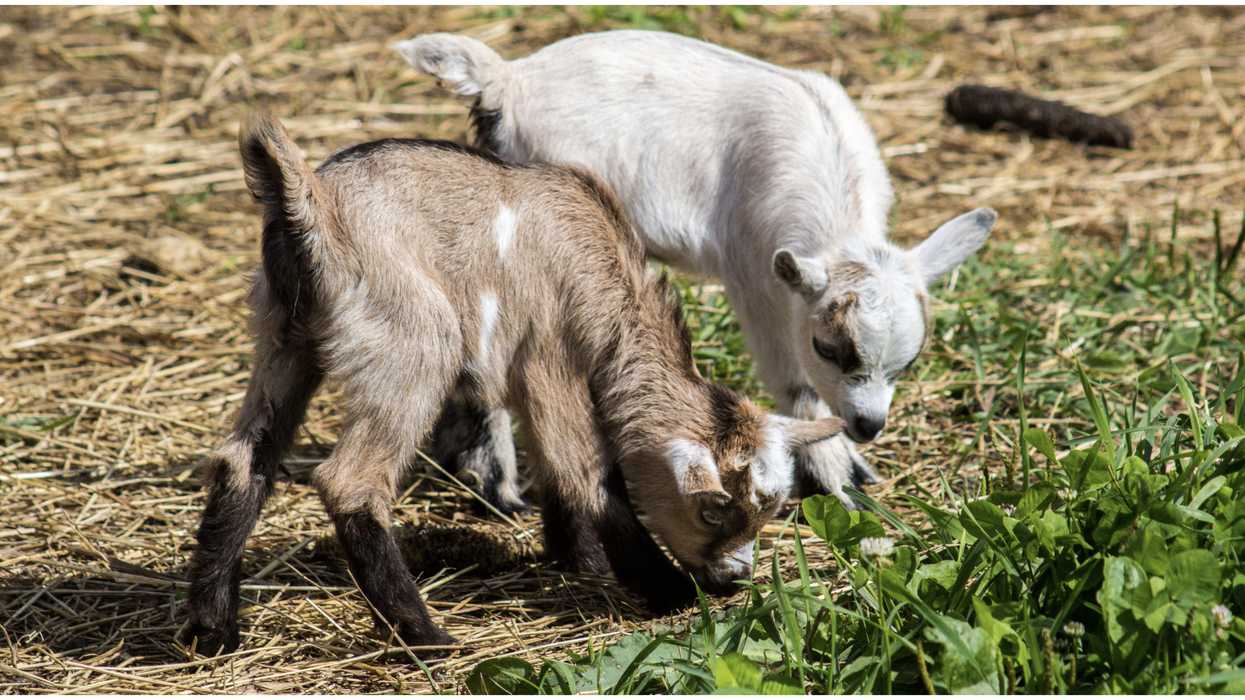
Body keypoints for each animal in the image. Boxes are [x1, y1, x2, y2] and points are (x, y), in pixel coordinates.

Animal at [182, 112, 845, 657]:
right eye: (712, 509)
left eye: (771, 509)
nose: (735, 578)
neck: (603, 270)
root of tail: (312, 205)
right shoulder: (549, 355)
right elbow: (587, 472)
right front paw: (668, 593)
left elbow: (554, 469)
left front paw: (575, 558)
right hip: (411, 344)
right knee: (351, 480)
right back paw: (426, 637)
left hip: (284, 339)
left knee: (244, 460)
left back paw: (212, 629)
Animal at [396, 30, 997, 509]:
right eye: (828, 347)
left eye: (909, 360)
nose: (870, 426)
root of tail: (506, 78)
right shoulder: (755, 274)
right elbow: (794, 380)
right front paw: (835, 478)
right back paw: (501, 482)